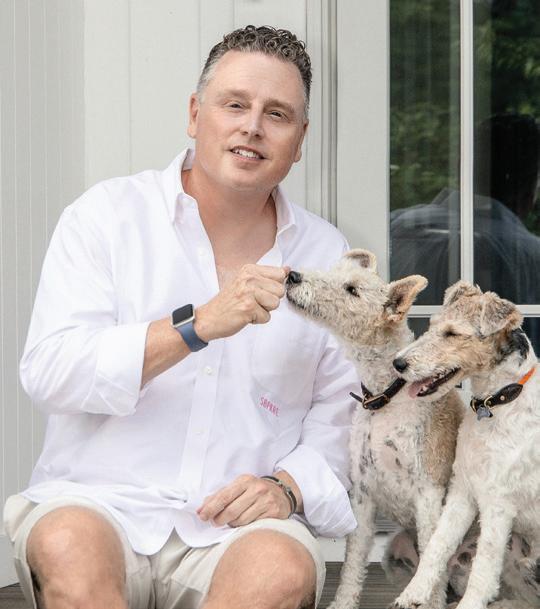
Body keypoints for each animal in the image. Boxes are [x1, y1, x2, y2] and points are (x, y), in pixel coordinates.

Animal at [285, 249, 463, 609]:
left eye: (352, 289)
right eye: (333, 271)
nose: (293, 276)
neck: (389, 394)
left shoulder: (428, 491)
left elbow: (433, 561)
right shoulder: (363, 494)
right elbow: (353, 563)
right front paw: (342, 603)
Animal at [391, 281, 540, 609]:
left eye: (452, 333)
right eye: (432, 325)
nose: (398, 363)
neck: (495, 403)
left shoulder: (498, 503)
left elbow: (483, 568)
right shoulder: (462, 491)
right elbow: (437, 545)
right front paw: (412, 593)